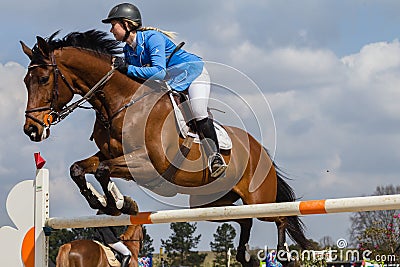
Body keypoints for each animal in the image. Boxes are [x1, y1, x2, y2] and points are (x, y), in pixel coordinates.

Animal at [20, 30, 310, 266]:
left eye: (43, 79)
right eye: (25, 81)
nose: (31, 129)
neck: (121, 103)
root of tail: (258, 147)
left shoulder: (149, 165)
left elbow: (102, 170)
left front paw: (117, 203)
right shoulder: (111, 155)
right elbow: (80, 169)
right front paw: (107, 201)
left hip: (258, 198)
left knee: (281, 217)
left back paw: (284, 255)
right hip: (211, 204)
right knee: (245, 219)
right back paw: (243, 256)